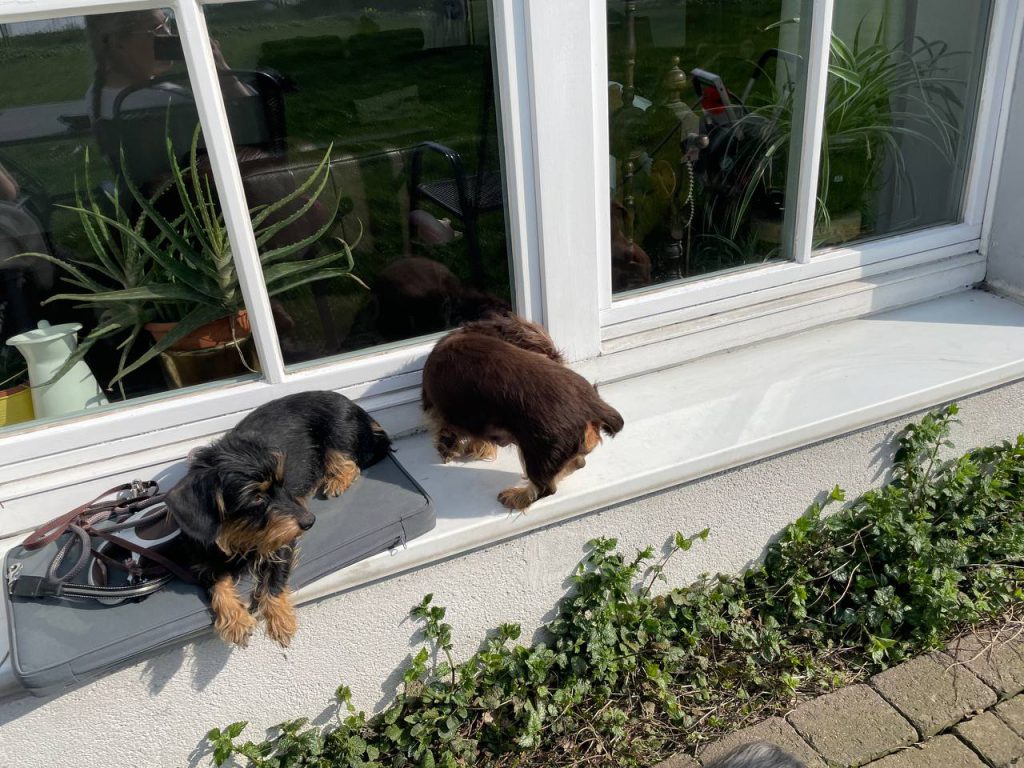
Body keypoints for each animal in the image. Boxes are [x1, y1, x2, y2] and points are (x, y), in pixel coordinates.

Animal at [165, 390, 391, 648]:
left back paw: (335, 480)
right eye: (256, 497)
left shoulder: (282, 540)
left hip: (338, 436)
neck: (240, 534)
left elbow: (273, 580)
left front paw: (280, 620)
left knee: (350, 462)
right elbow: (217, 584)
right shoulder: (200, 561)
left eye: (282, 484)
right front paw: (235, 620)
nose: (310, 521)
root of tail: (355, 406)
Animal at [421, 313, 623, 511]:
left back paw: (515, 497)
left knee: (545, 488)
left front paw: (448, 448)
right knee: (578, 463)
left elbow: (446, 429)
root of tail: (591, 404)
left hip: (538, 451)